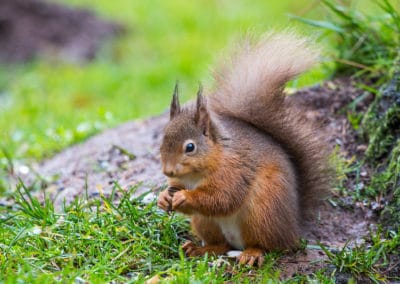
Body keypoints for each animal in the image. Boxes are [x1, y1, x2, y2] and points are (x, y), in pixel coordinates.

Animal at [158, 32, 330, 268]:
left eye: (190, 147)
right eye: (162, 140)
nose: (167, 171)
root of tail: (293, 228)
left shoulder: (234, 170)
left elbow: (222, 198)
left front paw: (185, 197)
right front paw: (163, 197)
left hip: (263, 213)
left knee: (268, 245)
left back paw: (252, 254)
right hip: (205, 222)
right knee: (222, 245)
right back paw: (199, 249)